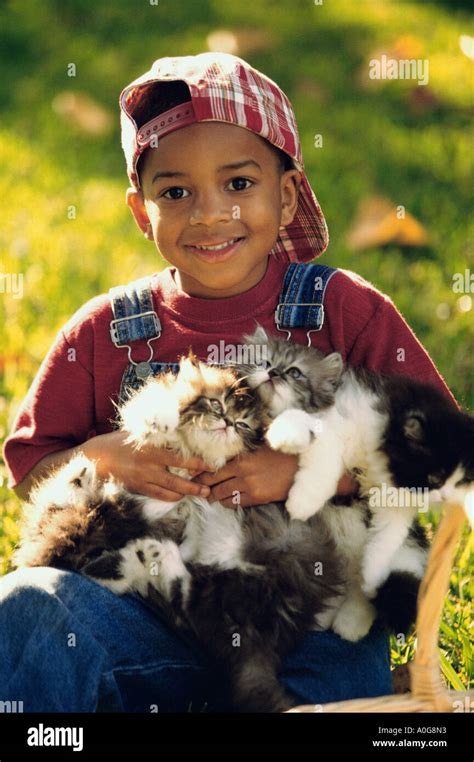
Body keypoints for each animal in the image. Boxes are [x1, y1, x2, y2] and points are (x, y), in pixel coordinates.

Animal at [12, 356, 340, 712]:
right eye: (216, 404)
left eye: (242, 425)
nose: (226, 422)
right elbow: (155, 408)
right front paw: (162, 417)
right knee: (65, 534)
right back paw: (88, 496)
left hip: (246, 584)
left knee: (186, 600)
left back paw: (145, 554)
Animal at [243, 324, 472, 604]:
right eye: (435, 478)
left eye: (461, 482)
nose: (447, 497)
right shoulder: (333, 423)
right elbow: (322, 466)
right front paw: (301, 502)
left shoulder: (395, 499)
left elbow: (388, 537)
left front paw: (373, 578)